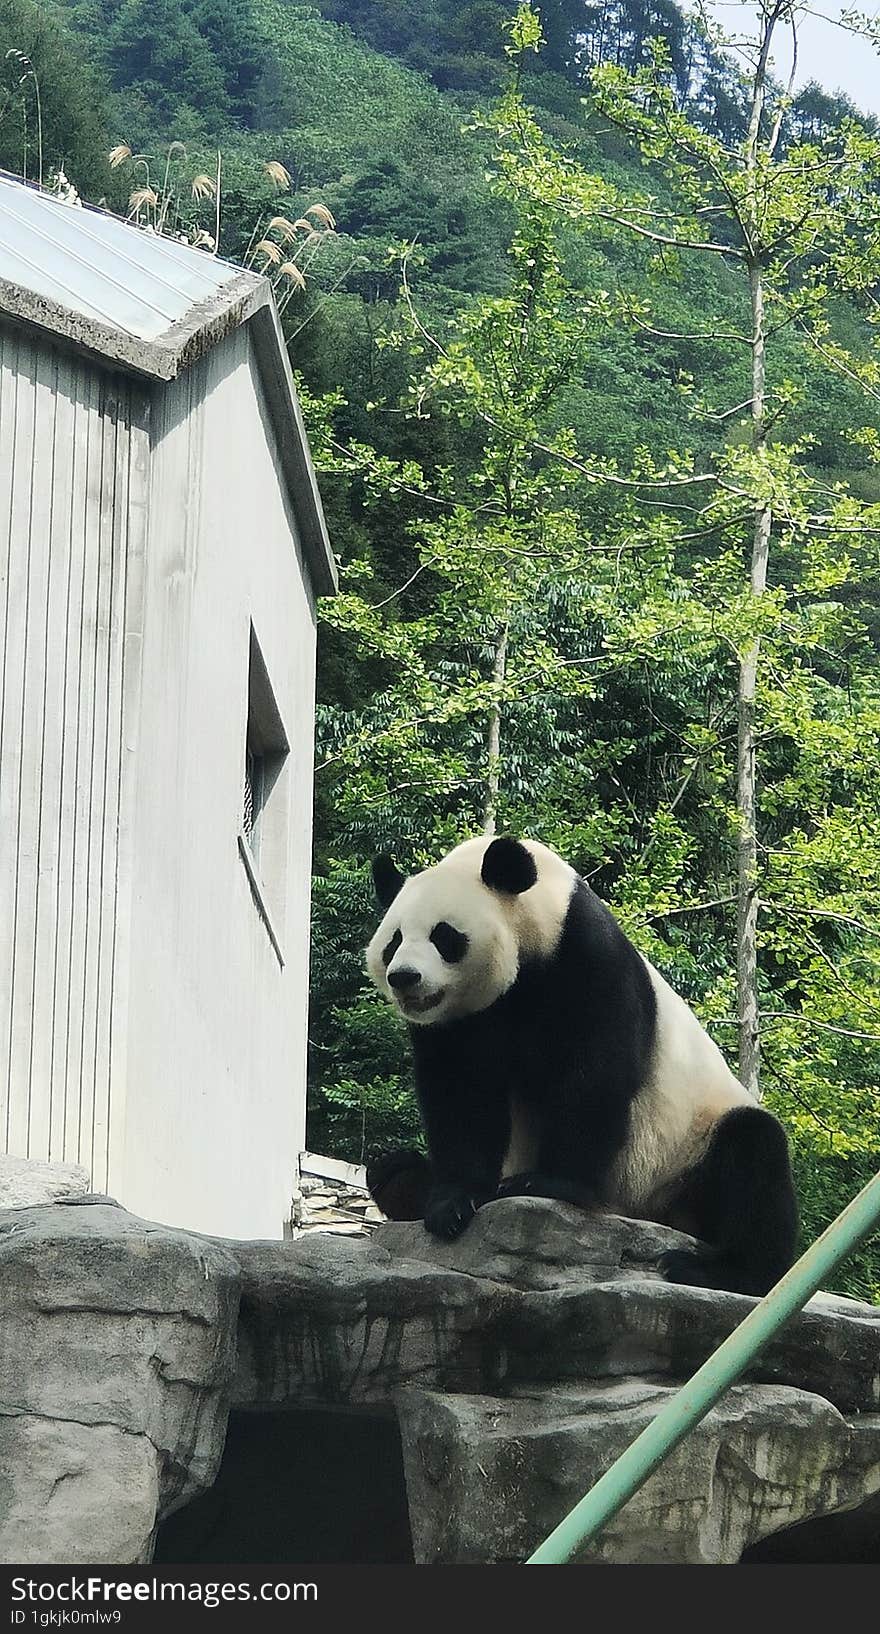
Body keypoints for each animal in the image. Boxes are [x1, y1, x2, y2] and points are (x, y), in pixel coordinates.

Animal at [364, 836, 800, 1294]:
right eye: (393, 941)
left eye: (444, 936)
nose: (404, 977)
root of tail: (648, 1215)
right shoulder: (457, 1022)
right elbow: (460, 1092)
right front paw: (453, 1201)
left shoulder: (584, 959)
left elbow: (593, 1074)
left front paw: (548, 1184)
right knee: (386, 1168)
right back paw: (405, 1182)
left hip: (686, 1149)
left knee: (753, 1157)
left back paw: (711, 1269)